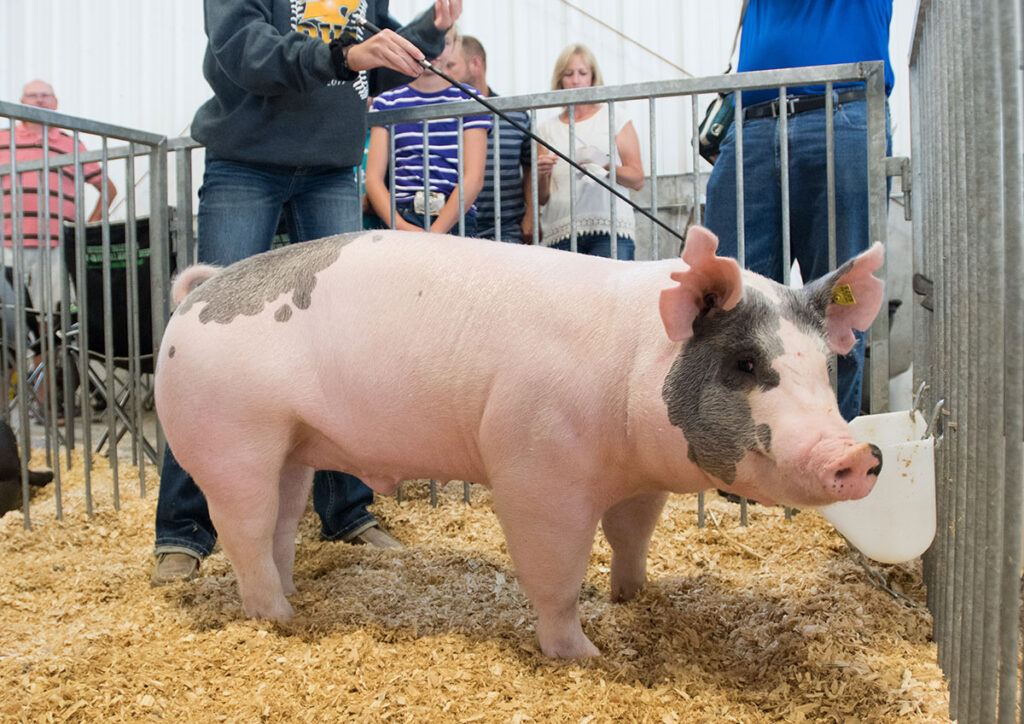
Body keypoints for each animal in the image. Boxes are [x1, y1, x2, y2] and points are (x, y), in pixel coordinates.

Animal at [154, 225, 884, 658]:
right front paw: (583, 655)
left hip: (291, 444)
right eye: (745, 363)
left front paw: (633, 597)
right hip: (231, 435)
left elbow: (631, 537)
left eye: (826, 366)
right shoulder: (538, 472)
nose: (859, 455)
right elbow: (555, 571)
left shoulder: (640, 482)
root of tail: (198, 293)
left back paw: (293, 600)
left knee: (280, 522)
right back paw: (279, 618)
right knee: (243, 528)